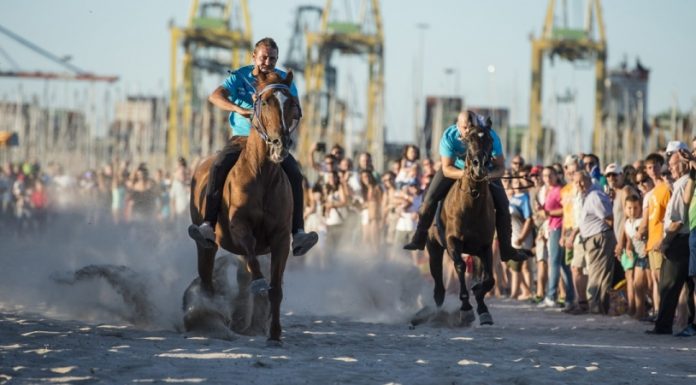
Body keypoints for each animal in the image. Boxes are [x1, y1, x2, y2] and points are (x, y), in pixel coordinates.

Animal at [424, 116, 494, 324]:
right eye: (469, 139)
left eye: (490, 140)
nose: (480, 165)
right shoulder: (453, 241)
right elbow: (461, 267)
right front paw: (466, 307)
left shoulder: (485, 245)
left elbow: (489, 279)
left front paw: (481, 304)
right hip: (433, 247)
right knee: (439, 285)